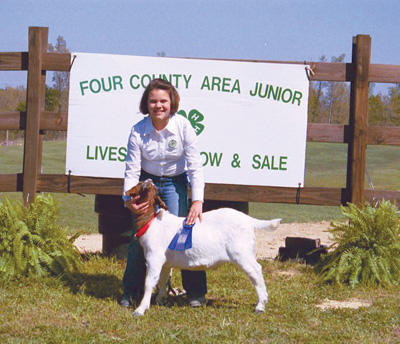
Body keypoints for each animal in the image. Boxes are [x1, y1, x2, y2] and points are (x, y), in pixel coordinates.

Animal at [126, 180, 280, 318]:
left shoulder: (154, 258)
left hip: (242, 253)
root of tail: (249, 220)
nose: (150, 180)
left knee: (256, 271)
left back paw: (260, 305)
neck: (151, 223)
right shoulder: (165, 262)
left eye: (140, 186)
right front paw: (160, 300)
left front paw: (140, 310)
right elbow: (163, 279)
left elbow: (149, 282)